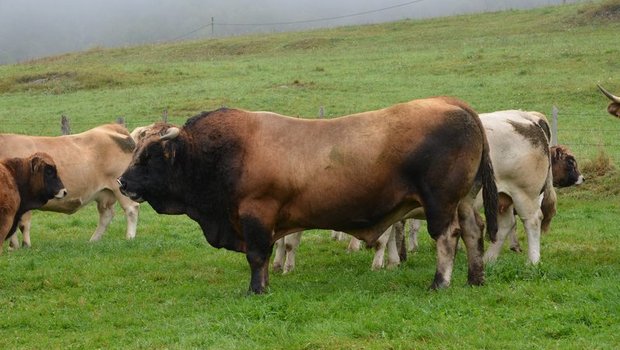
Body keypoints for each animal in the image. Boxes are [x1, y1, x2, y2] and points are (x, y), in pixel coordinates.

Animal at [0, 124, 139, 247]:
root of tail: (110, 127)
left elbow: (23, 224)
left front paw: (25, 245)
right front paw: (13, 246)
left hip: (120, 188)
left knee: (131, 209)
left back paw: (130, 238)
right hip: (104, 194)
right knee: (106, 215)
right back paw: (93, 240)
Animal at [120, 97, 498, 294]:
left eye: (149, 156)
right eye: (134, 150)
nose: (123, 182)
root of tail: (451, 103)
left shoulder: (256, 214)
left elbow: (257, 255)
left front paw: (257, 289)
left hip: (440, 203)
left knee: (448, 237)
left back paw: (440, 282)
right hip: (463, 200)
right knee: (473, 231)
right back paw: (475, 278)